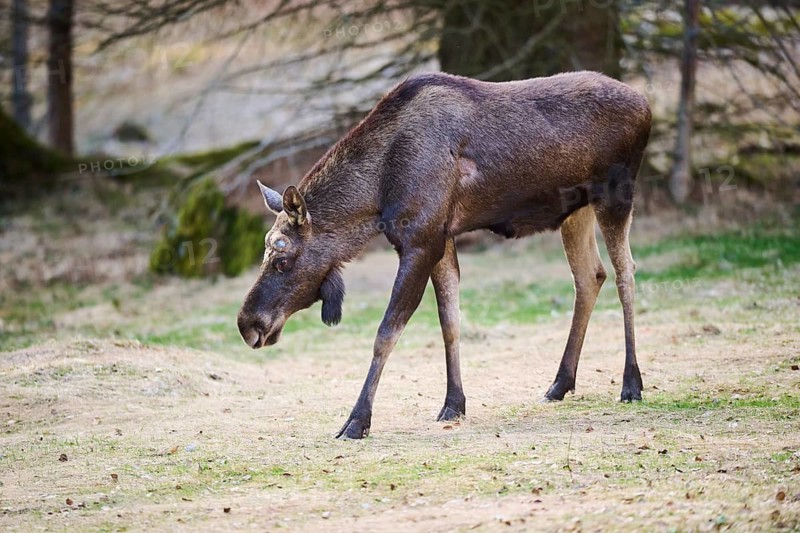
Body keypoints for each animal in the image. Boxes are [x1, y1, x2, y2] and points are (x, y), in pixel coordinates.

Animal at [237, 71, 651, 439]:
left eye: (282, 260)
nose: (247, 325)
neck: (378, 194)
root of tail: (647, 106)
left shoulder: (421, 241)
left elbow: (386, 332)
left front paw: (357, 421)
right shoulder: (443, 238)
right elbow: (449, 321)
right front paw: (453, 403)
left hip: (616, 193)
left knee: (626, 274)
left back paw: (631, 383)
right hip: (575, 209)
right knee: (589, 276)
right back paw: (560, 383)